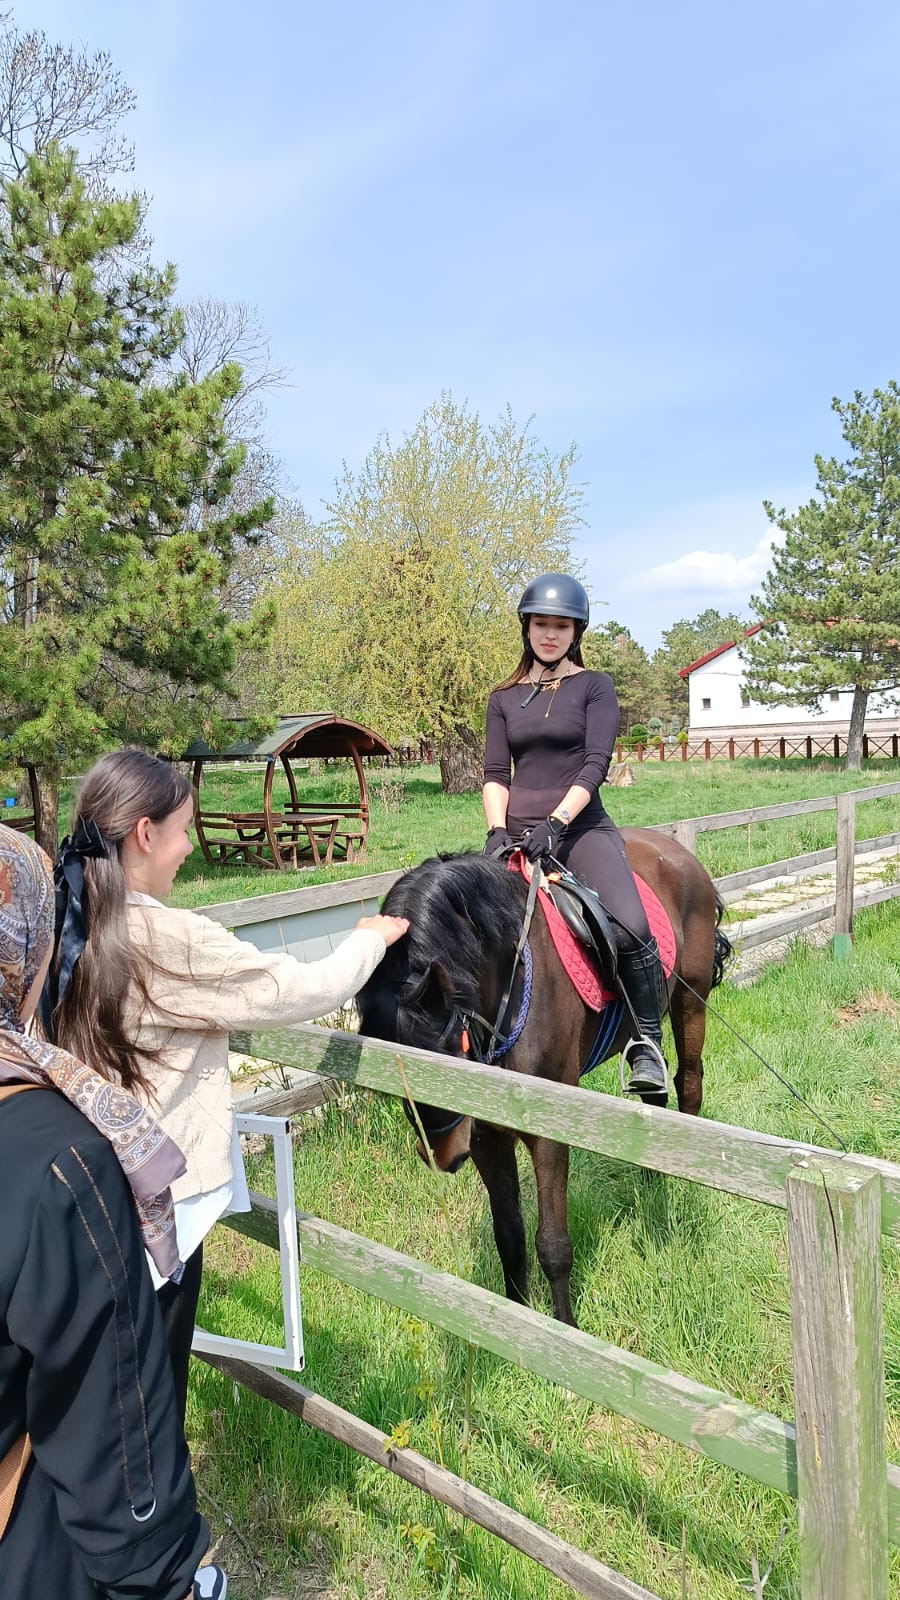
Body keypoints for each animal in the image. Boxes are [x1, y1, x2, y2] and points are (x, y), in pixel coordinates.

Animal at [357, 829, 732, 1325]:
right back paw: (651, 1183)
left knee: (689, 1085)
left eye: (450, 1048)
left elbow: (552, 1244)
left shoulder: (549, 1133)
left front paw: (565, 1329)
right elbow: (510, 1237)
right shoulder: (485, 1136)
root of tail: (676, 852)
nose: (442, 1155)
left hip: (690, 1002)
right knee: (654, 1098)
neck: (510, 984)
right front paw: (514, 1318)